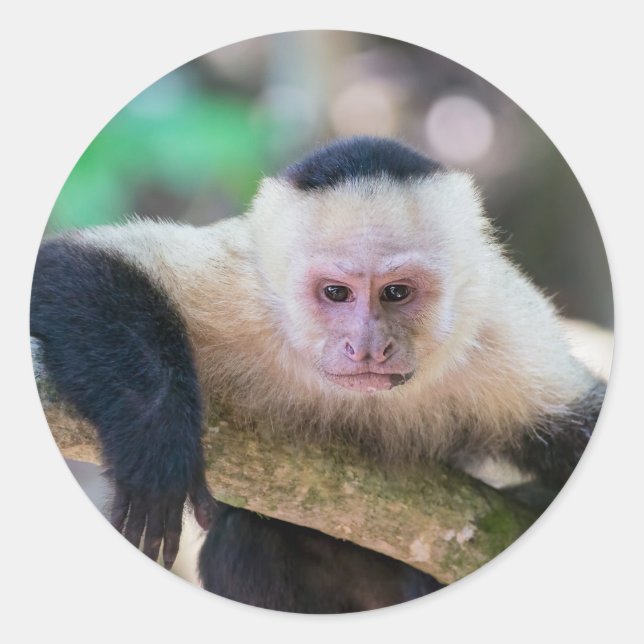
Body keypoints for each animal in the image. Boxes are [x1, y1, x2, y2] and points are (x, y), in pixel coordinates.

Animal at [30, 136, 606, 613]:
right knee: (248, 542)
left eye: (396, 292)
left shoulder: (496, 328)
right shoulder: (246, 288)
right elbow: (64, 266)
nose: (368, 348)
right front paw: (156, 443)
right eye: (336, 292)